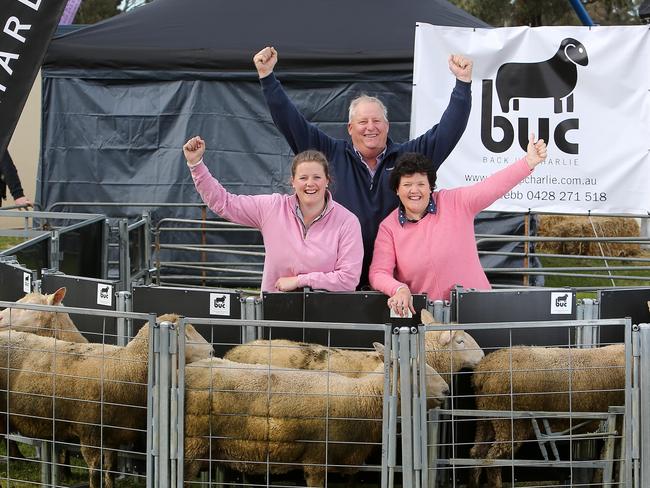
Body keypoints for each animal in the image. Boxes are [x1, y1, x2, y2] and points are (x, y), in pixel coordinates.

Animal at [0, 314, 211, 486]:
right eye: (185, 336)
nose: (211, 351)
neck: (127, 366)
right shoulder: (90, 432)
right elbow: (95, 471)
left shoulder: (112, 435)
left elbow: (110, 469)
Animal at [466, 344, 624, 488]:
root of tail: (483, 370)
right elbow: (612, 460)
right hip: (509, 422)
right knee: (493, 459)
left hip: (486, 417)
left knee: (476, 453)